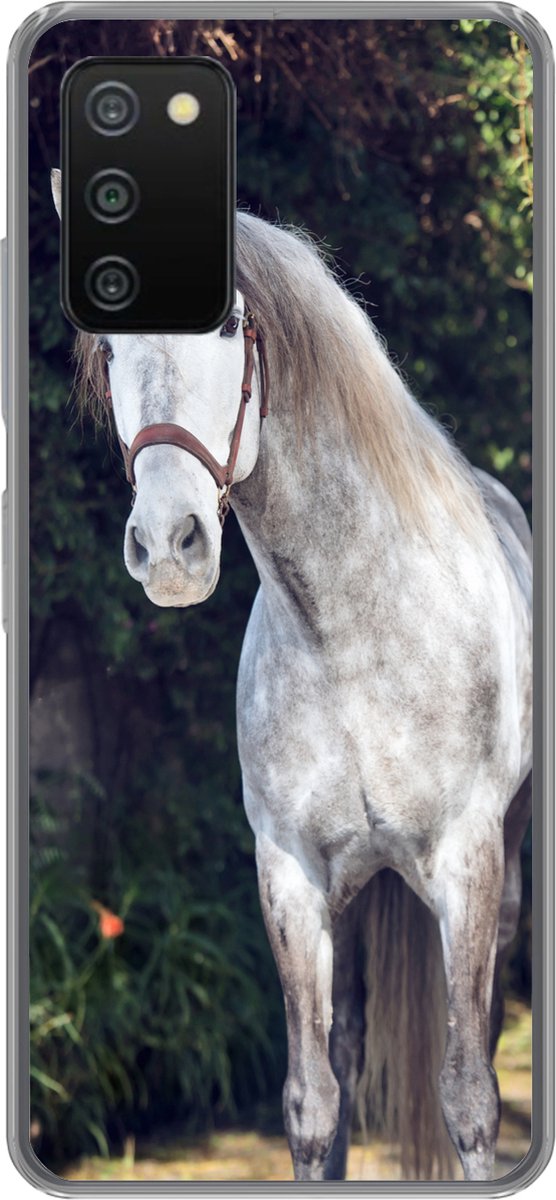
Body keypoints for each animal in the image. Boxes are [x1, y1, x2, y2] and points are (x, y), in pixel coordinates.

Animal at [51, 168, 532, 1182]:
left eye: (230, 323)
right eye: (109, 345)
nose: (170, 547)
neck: (351, 632)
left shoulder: (468, 865)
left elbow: (469, 1099)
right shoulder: (290, 875)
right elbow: (313, 1103)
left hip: (506, 863)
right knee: (345, 1050)